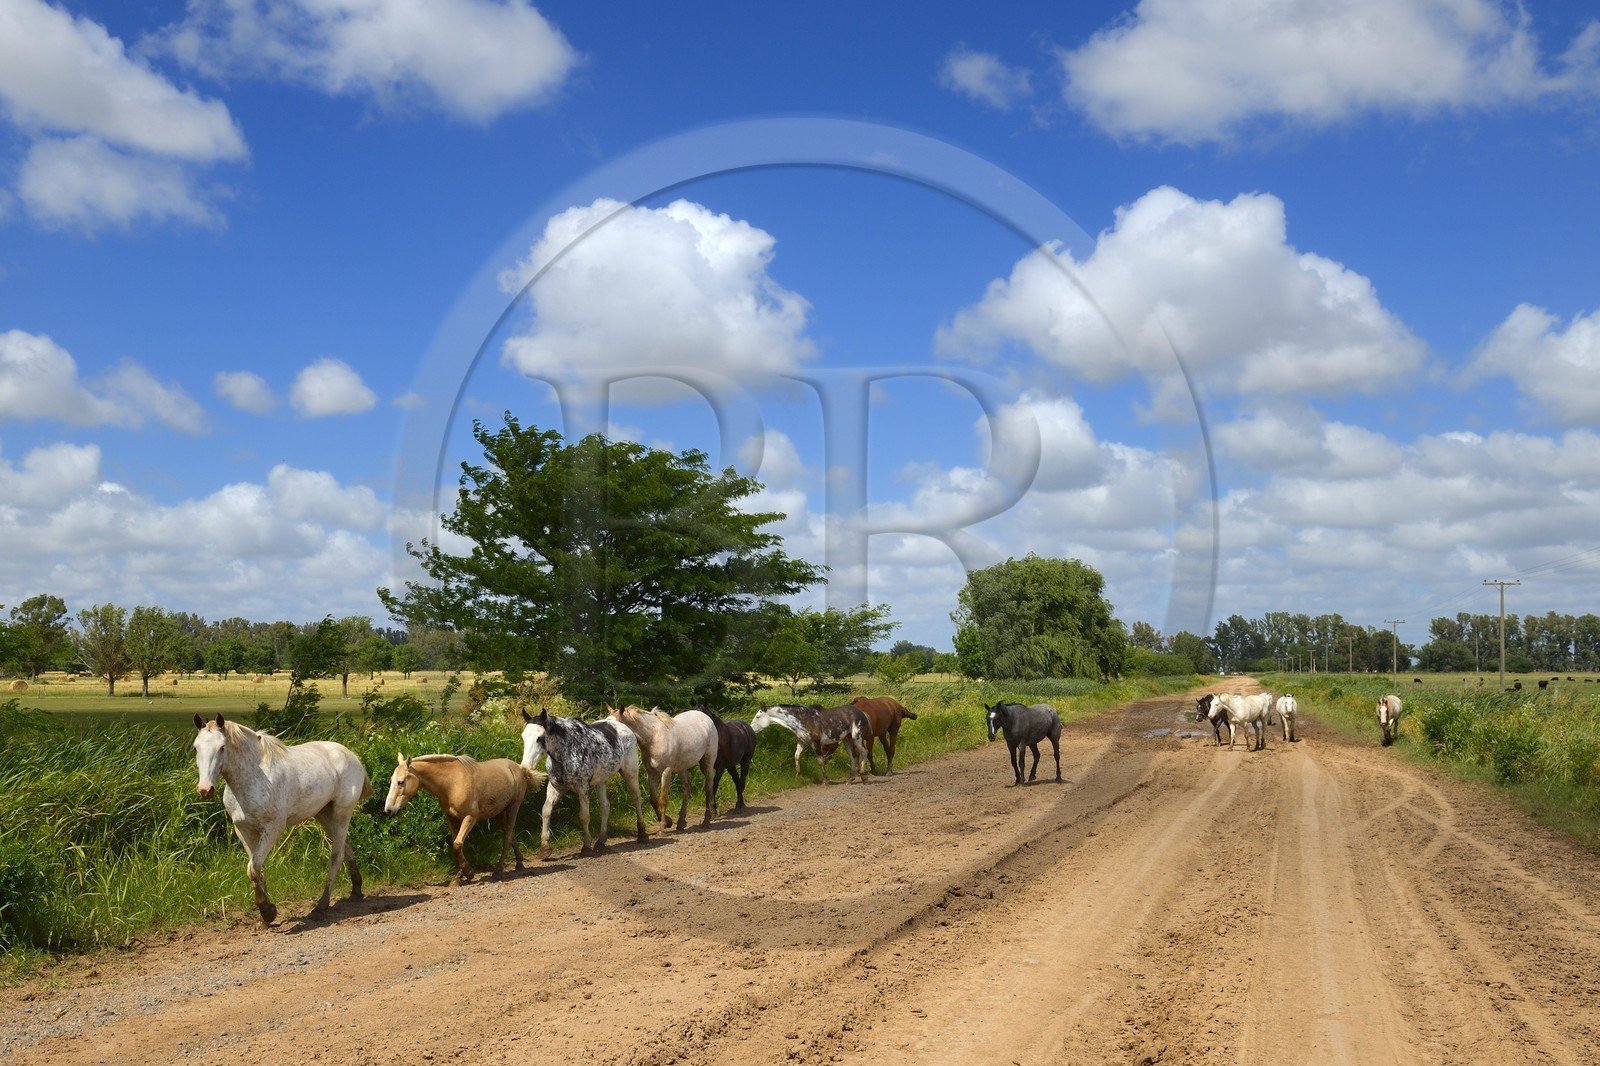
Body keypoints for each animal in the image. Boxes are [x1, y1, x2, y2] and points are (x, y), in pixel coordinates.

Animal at [192, 713, 371, 925]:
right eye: (196, 747)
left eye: (221, 747)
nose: (205, 789)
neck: (253, 778)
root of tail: (352, 756)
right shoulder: (243, 829)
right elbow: (257, 868)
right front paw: (266, 912)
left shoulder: (273, 828)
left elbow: (254, 867)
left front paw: (267, 910)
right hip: (324, 813)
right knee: (346, 846)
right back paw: (356, 891)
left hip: (342, 812)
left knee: (337, 856)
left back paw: (320, 907)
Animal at [382, 753, 546, 883]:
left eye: (400, 782)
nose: (389, 810)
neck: (452, 783)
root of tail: (520, 769)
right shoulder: (451, 819)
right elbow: (456, 845)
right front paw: (458, 877)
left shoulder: (470, 817)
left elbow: (457, 844)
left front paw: (469, 873)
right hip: (499, 813)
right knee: (510, 833)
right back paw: (519, 864)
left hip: (513, 807)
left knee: (507, 837)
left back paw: (498, 871)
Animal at [520, 709, 648, 857]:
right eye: (523, 737)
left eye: (539, 738)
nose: (525, 767)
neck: (566, 752)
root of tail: (621, 726)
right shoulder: (555, 787)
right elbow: (546, 811)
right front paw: (545, 848)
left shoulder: (582, 788)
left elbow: (584, 816)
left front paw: (586, 846)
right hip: (600, 781)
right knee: (605, 806)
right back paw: (601, 841)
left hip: (630, 773)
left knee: (636, 799)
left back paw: (642, 835)